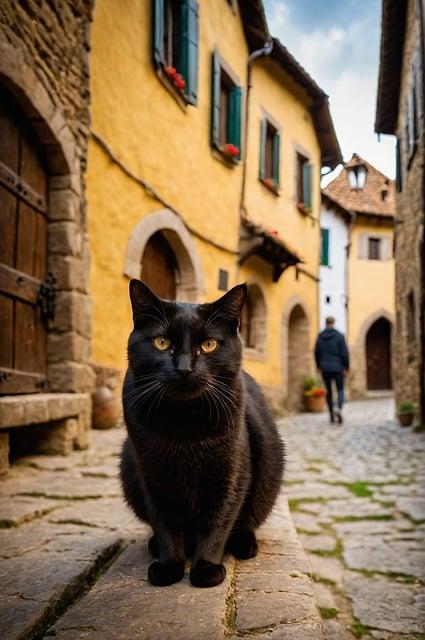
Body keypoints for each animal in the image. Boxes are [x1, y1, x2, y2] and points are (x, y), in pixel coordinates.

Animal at [120, 280, 284, 592]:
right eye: (162, 342)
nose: (184, 367)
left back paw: (245, 544)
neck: (184, 427)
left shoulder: (230, 474)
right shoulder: (151, 476)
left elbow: (218, 522)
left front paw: (206, 569)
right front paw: (169, 566)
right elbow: (164, 523)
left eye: (209, 345)